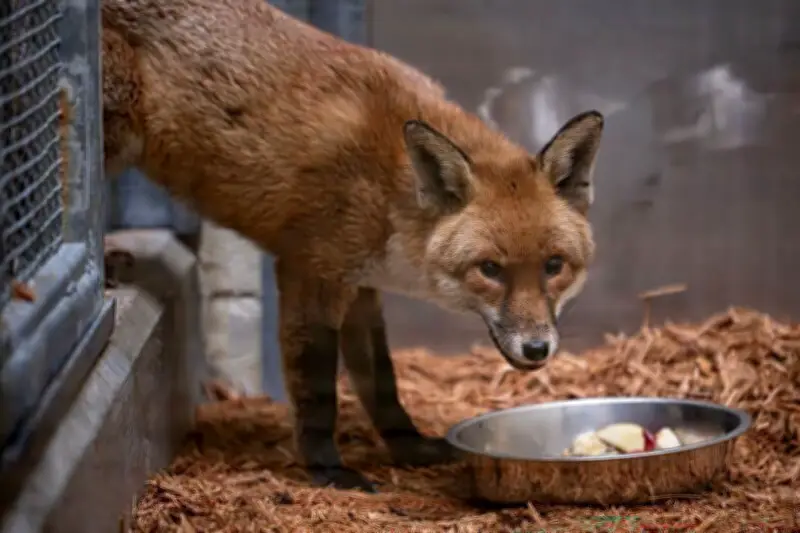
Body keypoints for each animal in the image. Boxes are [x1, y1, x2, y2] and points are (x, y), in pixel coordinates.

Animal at [101, 0, 604, 492]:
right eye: (490, 270)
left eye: (553, 265)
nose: (537, 349)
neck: (389, 192)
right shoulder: (310, 272)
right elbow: (318, 387)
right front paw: (327, 468)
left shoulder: (362, 287)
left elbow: (382, 382)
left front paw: (410, 448)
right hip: (114, 127)